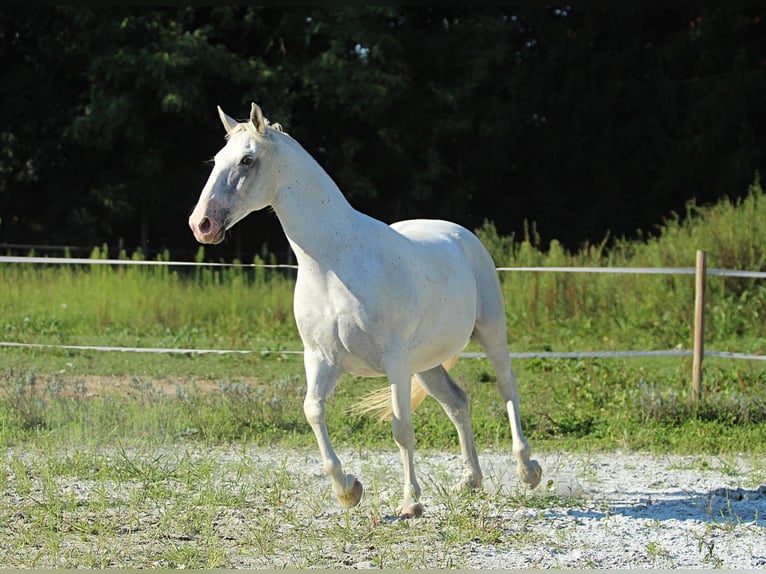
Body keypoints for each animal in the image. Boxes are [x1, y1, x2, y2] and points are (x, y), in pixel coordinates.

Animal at [189, 102, 544, 516]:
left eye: (247, 160)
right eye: (217, 159)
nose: (201, 224)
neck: (333, 263)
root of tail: (461, 235)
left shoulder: (394, 362)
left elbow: (401, 428)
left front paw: (410, 502)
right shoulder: (321, 359)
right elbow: (313, 410)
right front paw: (348, 490)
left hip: (489, 334)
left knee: (507, 388)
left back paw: (528, 471)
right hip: (425, 364)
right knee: (458, 403)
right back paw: (470, 481)